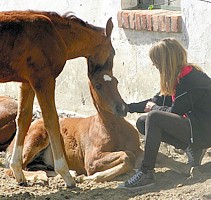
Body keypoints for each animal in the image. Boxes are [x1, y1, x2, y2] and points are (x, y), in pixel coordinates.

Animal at [0, 10, 115, 187]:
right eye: (113, 53)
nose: (106, 78)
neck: (57, 34)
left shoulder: (27, 82)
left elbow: (23, 119)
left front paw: (18, 171)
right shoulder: (44, 80)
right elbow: (52, 121)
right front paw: (66, 174)